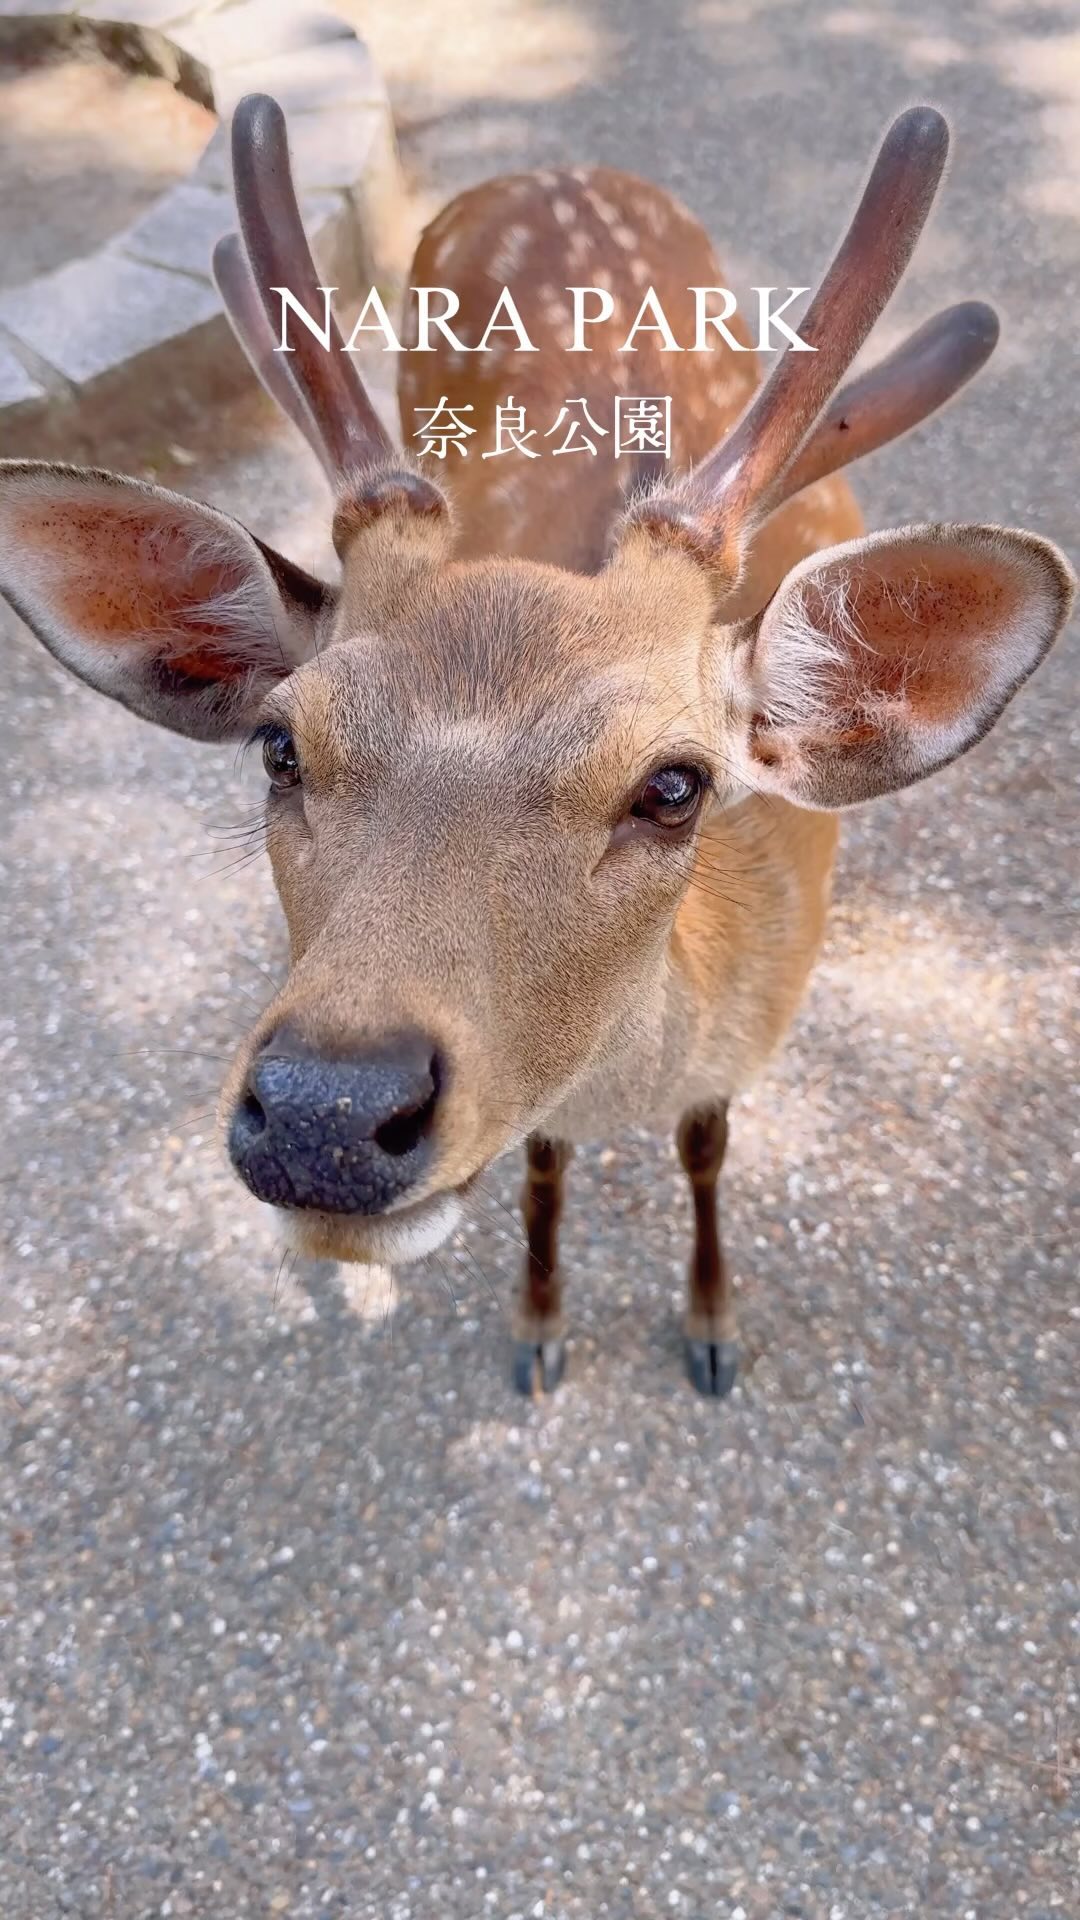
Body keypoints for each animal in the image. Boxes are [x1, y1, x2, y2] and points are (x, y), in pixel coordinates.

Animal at [0, 95, 1071, 1398]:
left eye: (675, 785)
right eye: (279, 747)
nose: (323, 1114)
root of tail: (553, 167)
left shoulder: (747, 1039)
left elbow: (707, 1149)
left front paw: (712, 1326)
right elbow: (544, 1164)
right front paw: (540, 1324)